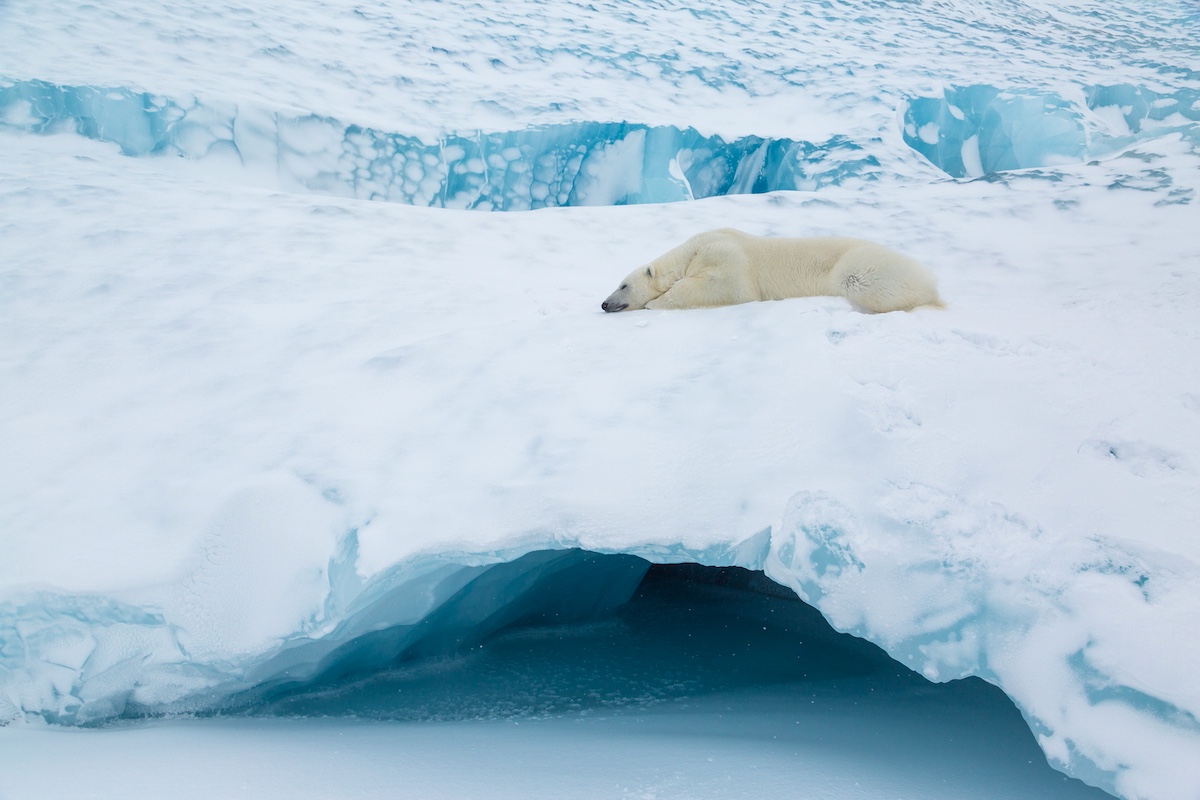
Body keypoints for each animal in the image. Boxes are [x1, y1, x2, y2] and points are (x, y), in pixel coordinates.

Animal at [601, 228, 942, 314]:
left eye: (623, 285)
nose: (604, 303)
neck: (693, 251)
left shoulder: (726, 257)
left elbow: (726, 286)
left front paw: (655, 302)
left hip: (861, 266)